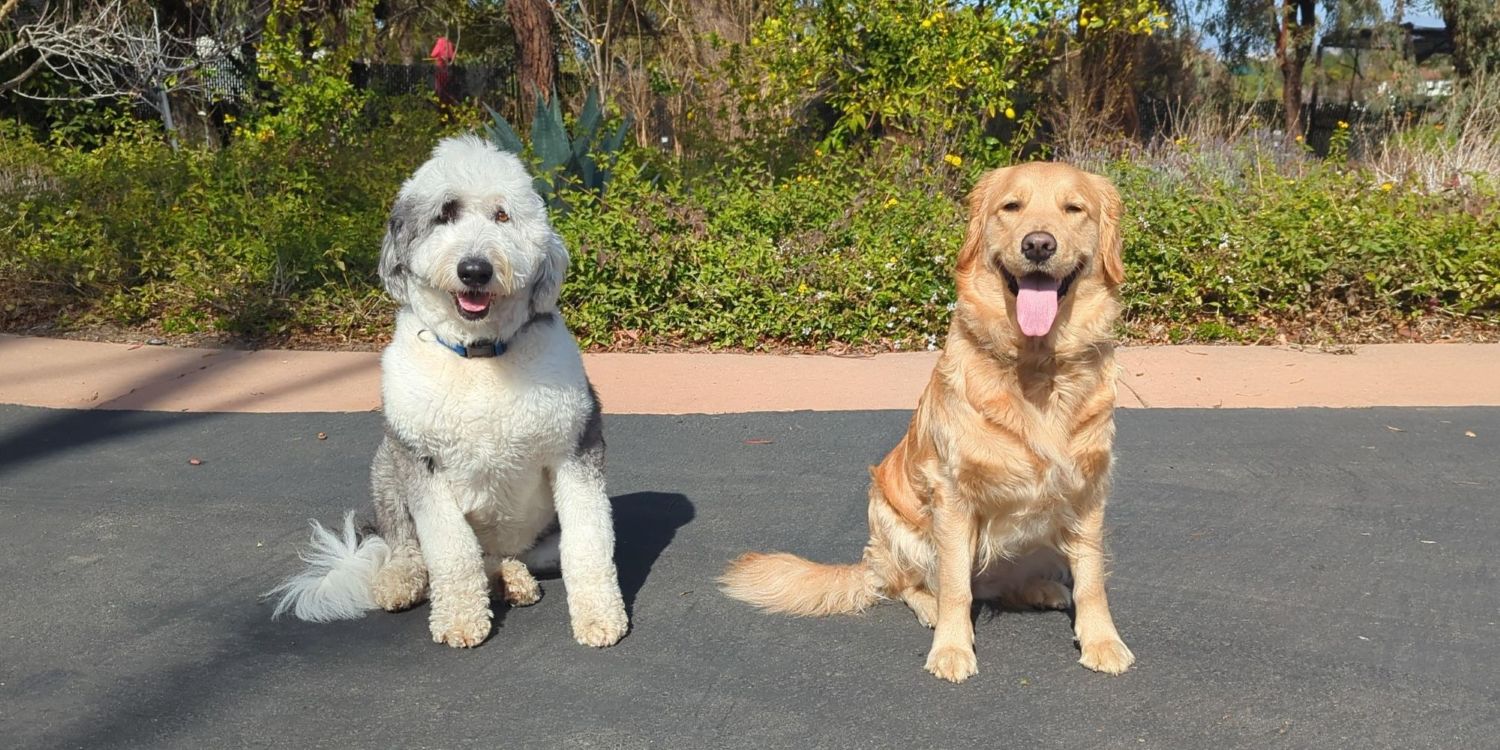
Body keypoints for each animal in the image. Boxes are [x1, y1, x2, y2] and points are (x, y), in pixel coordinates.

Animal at [270, 136, 627, 651]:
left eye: (502, 215)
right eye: (445, 214)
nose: (475, 269)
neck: (479, 356)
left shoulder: (576, 452)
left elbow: (590, 543)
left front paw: (600, 617)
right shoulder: (423, 463)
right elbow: (450, 550)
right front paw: (460, 620)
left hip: (537, 544)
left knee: (503, 558)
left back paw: (511, 579)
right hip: (387, 461)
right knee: (408, 545)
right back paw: (402, 579)